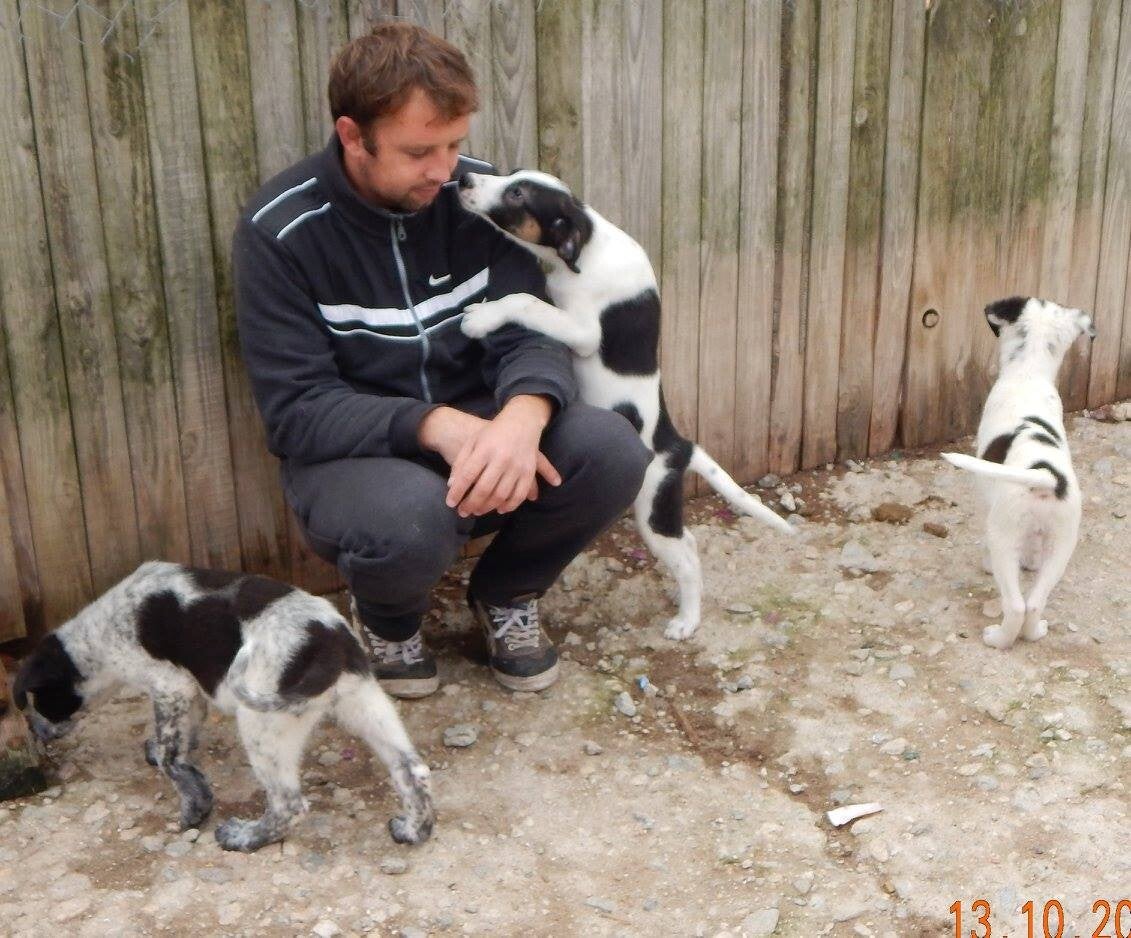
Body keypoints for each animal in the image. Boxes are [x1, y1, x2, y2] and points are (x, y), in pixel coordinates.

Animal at [13, 561, 434, 851]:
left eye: (41, 702)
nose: (37, 732)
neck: (97, 635)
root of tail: (328, 644)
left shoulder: (171, 686)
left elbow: (171, 758)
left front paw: (193, 807)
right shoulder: (189, 693)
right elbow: (181, 737)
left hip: (261, 723)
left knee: (288, 803)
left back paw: (245, 837)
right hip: (366, 705)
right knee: (411, 770)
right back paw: (414, 830)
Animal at [456, 170, 793, 640]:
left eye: (518, 193)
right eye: (511, 175)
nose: (464, 177)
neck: (590, 244)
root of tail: (678, 444)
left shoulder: (582, 332)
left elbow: (524, 301)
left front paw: (481, 317)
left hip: (652, 507)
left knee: (686, 557)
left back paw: (687, 620)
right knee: (689, 545)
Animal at [941, 297, 1095, 649]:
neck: (1029, 373)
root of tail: (1046, 476)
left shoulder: (985, 502)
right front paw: (1030, 562)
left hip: (1004, 534)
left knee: (1016, 605)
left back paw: (998, 638)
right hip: (1063, 543)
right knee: (1035, 603)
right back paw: (1035, 632)